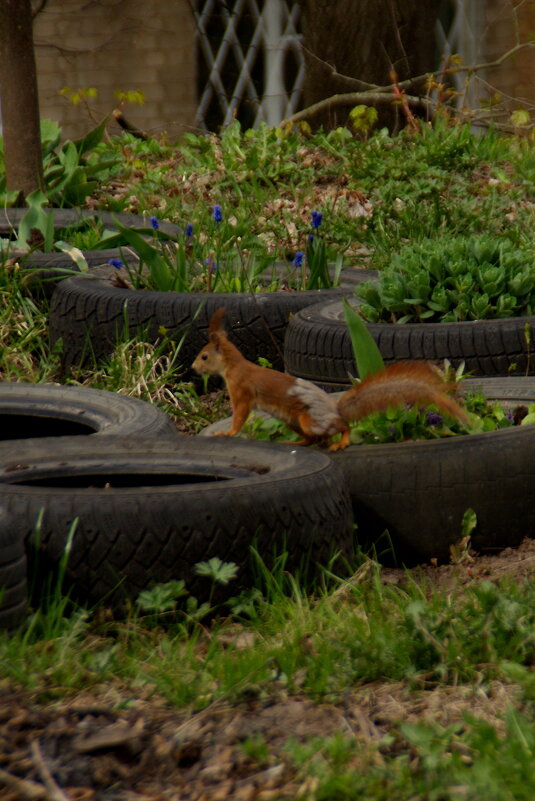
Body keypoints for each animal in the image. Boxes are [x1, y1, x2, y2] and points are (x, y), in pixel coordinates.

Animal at [193, 308, 468, 450]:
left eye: (204, 356)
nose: (194, 367)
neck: (234, 366)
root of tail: (335, 409)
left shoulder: (241, 389)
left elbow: (239, 415)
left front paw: (227, 433)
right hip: (294, 421)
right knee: (313, 437)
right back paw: (297, 441)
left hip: (309, 419)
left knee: (341, 427)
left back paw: (341, 441)